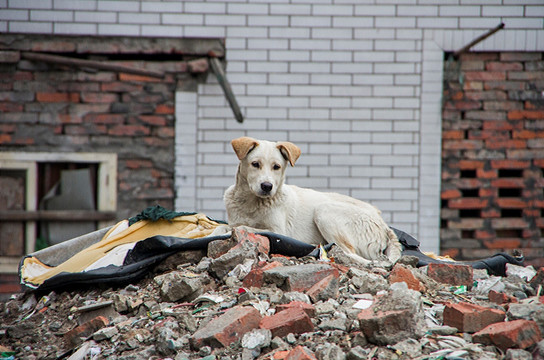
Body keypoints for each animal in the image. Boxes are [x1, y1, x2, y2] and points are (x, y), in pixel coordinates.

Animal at [223, 136, 402, 264]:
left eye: (276, 167)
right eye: (255, 164)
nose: (267, 186)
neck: (253, 203)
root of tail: (385, 227)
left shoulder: (278, 231)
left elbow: (246, 228)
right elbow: (228, 226)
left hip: (324, 211)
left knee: (350, 253)